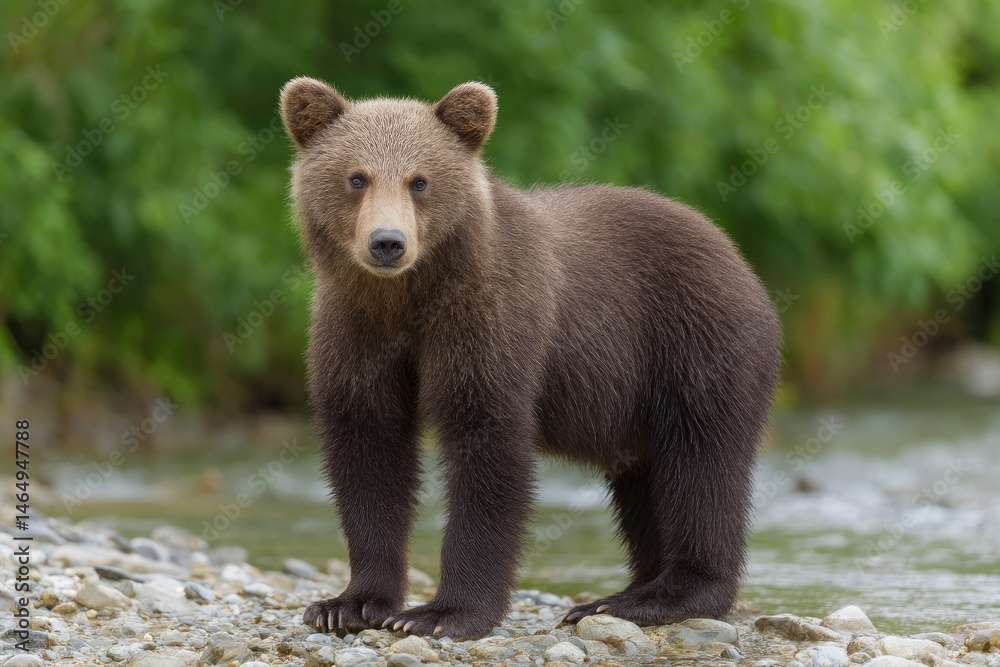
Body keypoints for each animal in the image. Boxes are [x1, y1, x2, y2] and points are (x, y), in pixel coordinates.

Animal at [279, 77, 781, 641]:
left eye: (420, 181)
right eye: (356, 177)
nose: (387, 243)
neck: (410, 297)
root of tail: (739, 259)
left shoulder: (491, 321)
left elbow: (488, 445)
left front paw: (443, 613)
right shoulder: (354, 327)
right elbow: (368, 445)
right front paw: (350, 603)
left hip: (694, 345)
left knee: (701, 466)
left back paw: (656, 597)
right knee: (645, 482)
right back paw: (625, 591)